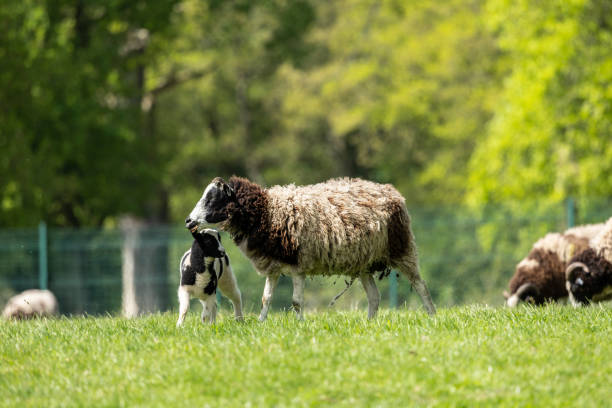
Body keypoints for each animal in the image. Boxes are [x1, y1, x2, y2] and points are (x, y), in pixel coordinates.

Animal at [185, 175, 436, 318]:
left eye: (212, 199)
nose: (188, 221)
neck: (269, 211)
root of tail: (391, 191)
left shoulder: (298, 266)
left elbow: (296, 302)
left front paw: (299, 325)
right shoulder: (273, 267)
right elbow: (266, 299)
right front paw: (260, 324)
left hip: (403, 249)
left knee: (421, 285)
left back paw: (432, 316)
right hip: (364, 262)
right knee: (374, 297)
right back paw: (369, 323)